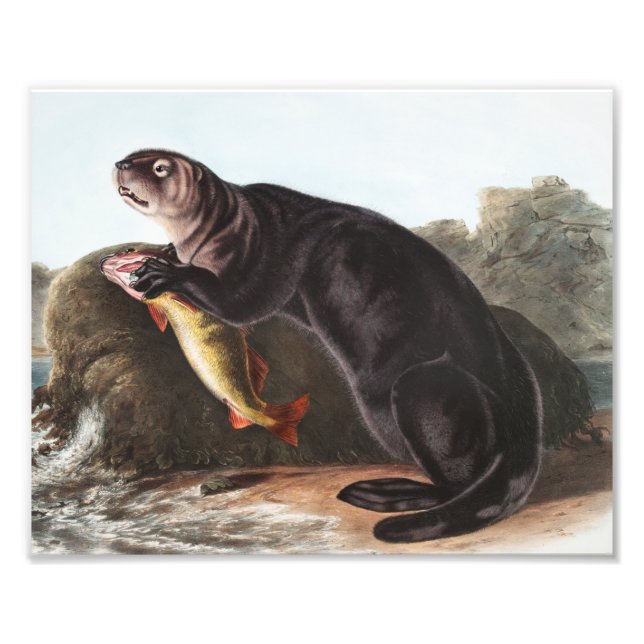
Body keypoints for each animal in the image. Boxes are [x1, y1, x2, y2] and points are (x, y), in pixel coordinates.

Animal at [113, 149, 543, 543]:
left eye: (160, 168)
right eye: (135, 155)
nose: (120, 164)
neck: (232, 224)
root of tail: (525, 430)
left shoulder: (264, 255)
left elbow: (243, 303)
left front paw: (163, 271)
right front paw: (165, 254)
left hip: (426, 388)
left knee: (456, 478)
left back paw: (386, 493)